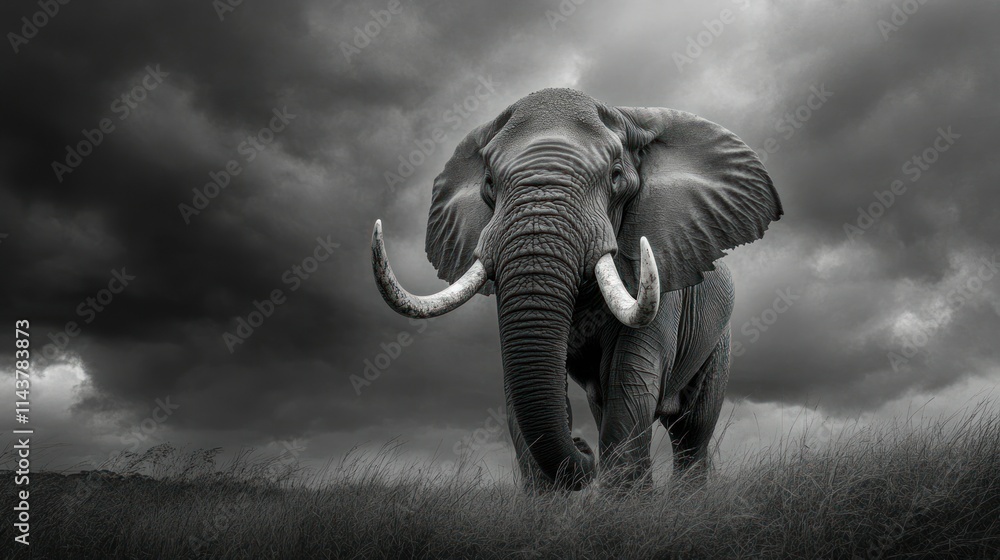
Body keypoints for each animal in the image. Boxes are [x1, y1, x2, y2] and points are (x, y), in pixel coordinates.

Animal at [371, 88, 782, 492]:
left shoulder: (662, 283)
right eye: (489, 184)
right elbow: (516, 387)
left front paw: (627, 505)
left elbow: (630, 380)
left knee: (691, 429)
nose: (582, 447)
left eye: (615, 176)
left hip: (718, 342)